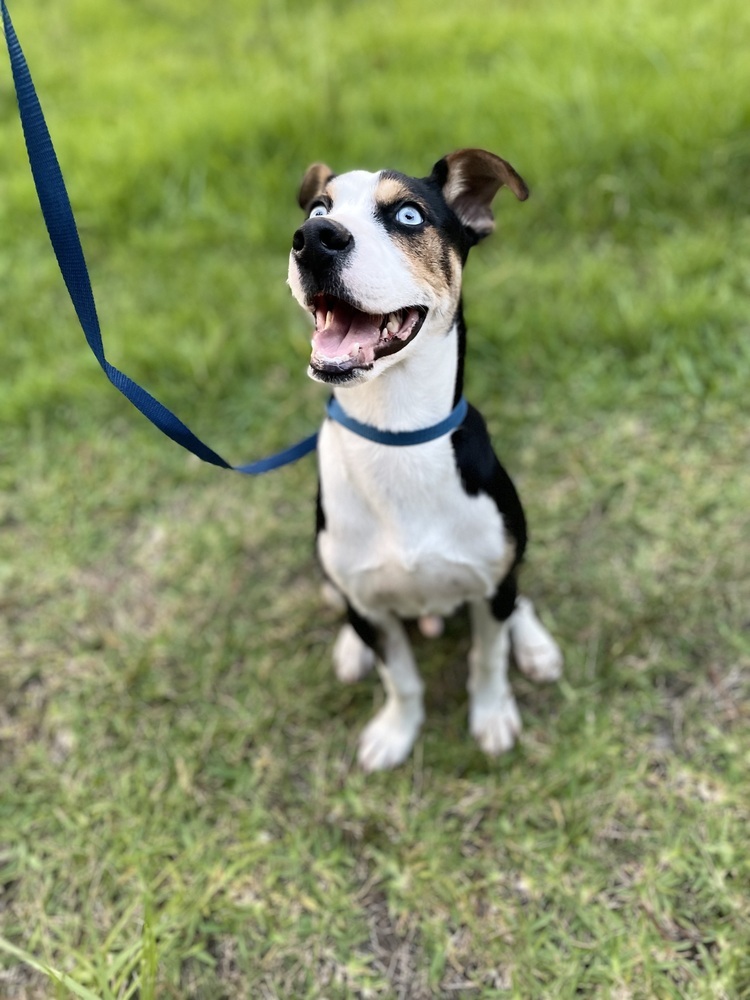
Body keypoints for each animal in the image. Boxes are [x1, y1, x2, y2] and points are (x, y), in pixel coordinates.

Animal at [288, 150, 564, 772]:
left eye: (409, 215)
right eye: (319, 209)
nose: (313, 238)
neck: (396, 436)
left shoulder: (491, 583)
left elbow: (487, 659)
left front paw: (492, 717)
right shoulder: (371, 608)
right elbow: (401, 679)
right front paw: (396, 731)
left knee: (520, 598)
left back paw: (536, 646)